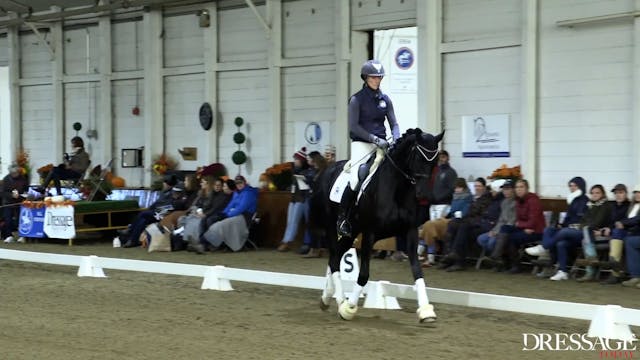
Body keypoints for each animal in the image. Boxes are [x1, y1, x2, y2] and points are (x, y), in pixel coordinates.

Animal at [312, 128, 444, 322]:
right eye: (418, 158)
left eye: (435, 162)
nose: (423, 195)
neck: (397, 188)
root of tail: (326, 170)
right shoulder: (369, 234)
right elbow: (364, 274)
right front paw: (349, 308)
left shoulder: (410, 232)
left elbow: (417, 270)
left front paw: (427, 311)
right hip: (333, 228)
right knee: (335, 258)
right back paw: (341, 301)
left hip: (351, 232)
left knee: (335, 258)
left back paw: (327, 297)